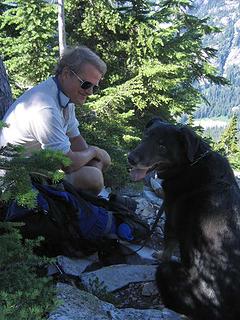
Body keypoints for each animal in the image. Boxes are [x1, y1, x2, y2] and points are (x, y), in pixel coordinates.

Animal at [128, 118, 240, 320]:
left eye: (162, 146)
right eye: (145, 136)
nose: (130, 158)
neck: (190, 164)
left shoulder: (171, 217)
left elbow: (168, 245)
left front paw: (160, 255)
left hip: (167, 272)